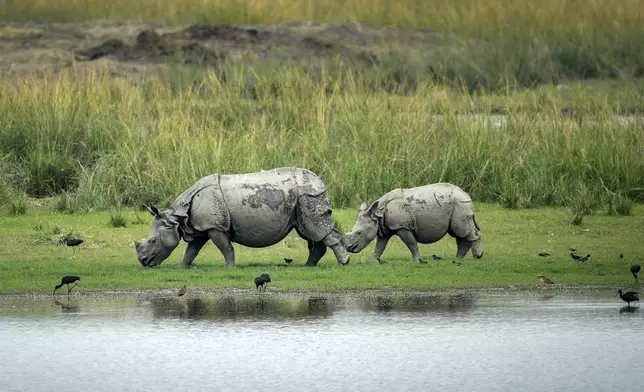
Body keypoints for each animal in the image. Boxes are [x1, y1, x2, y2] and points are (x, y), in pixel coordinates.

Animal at [133, 167, 350, 268]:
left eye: (153, 241)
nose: (143, 261)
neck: (179, 217)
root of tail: (320, 182)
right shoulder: (201, 226)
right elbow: (191, 250)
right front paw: (181, 266)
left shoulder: (215, 226)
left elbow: (225, 247)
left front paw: (229, 268)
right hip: (303, 198)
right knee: (310, 232)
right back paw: (309, 266)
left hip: (308, 195)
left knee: (316, 229)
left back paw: (343, 262)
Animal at [344, 183, 480, 264]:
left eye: (359, 232)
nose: (349, 247)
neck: (378, 214)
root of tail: (466, 194)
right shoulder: (384, 228)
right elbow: (380, 246)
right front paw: (373, 260)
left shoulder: (402, 227)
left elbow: (411, 243)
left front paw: (416, 260)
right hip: (457, 205)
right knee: (459, 232)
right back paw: (458, 258)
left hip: (460, 203)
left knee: (462, 230)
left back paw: (477, 256)